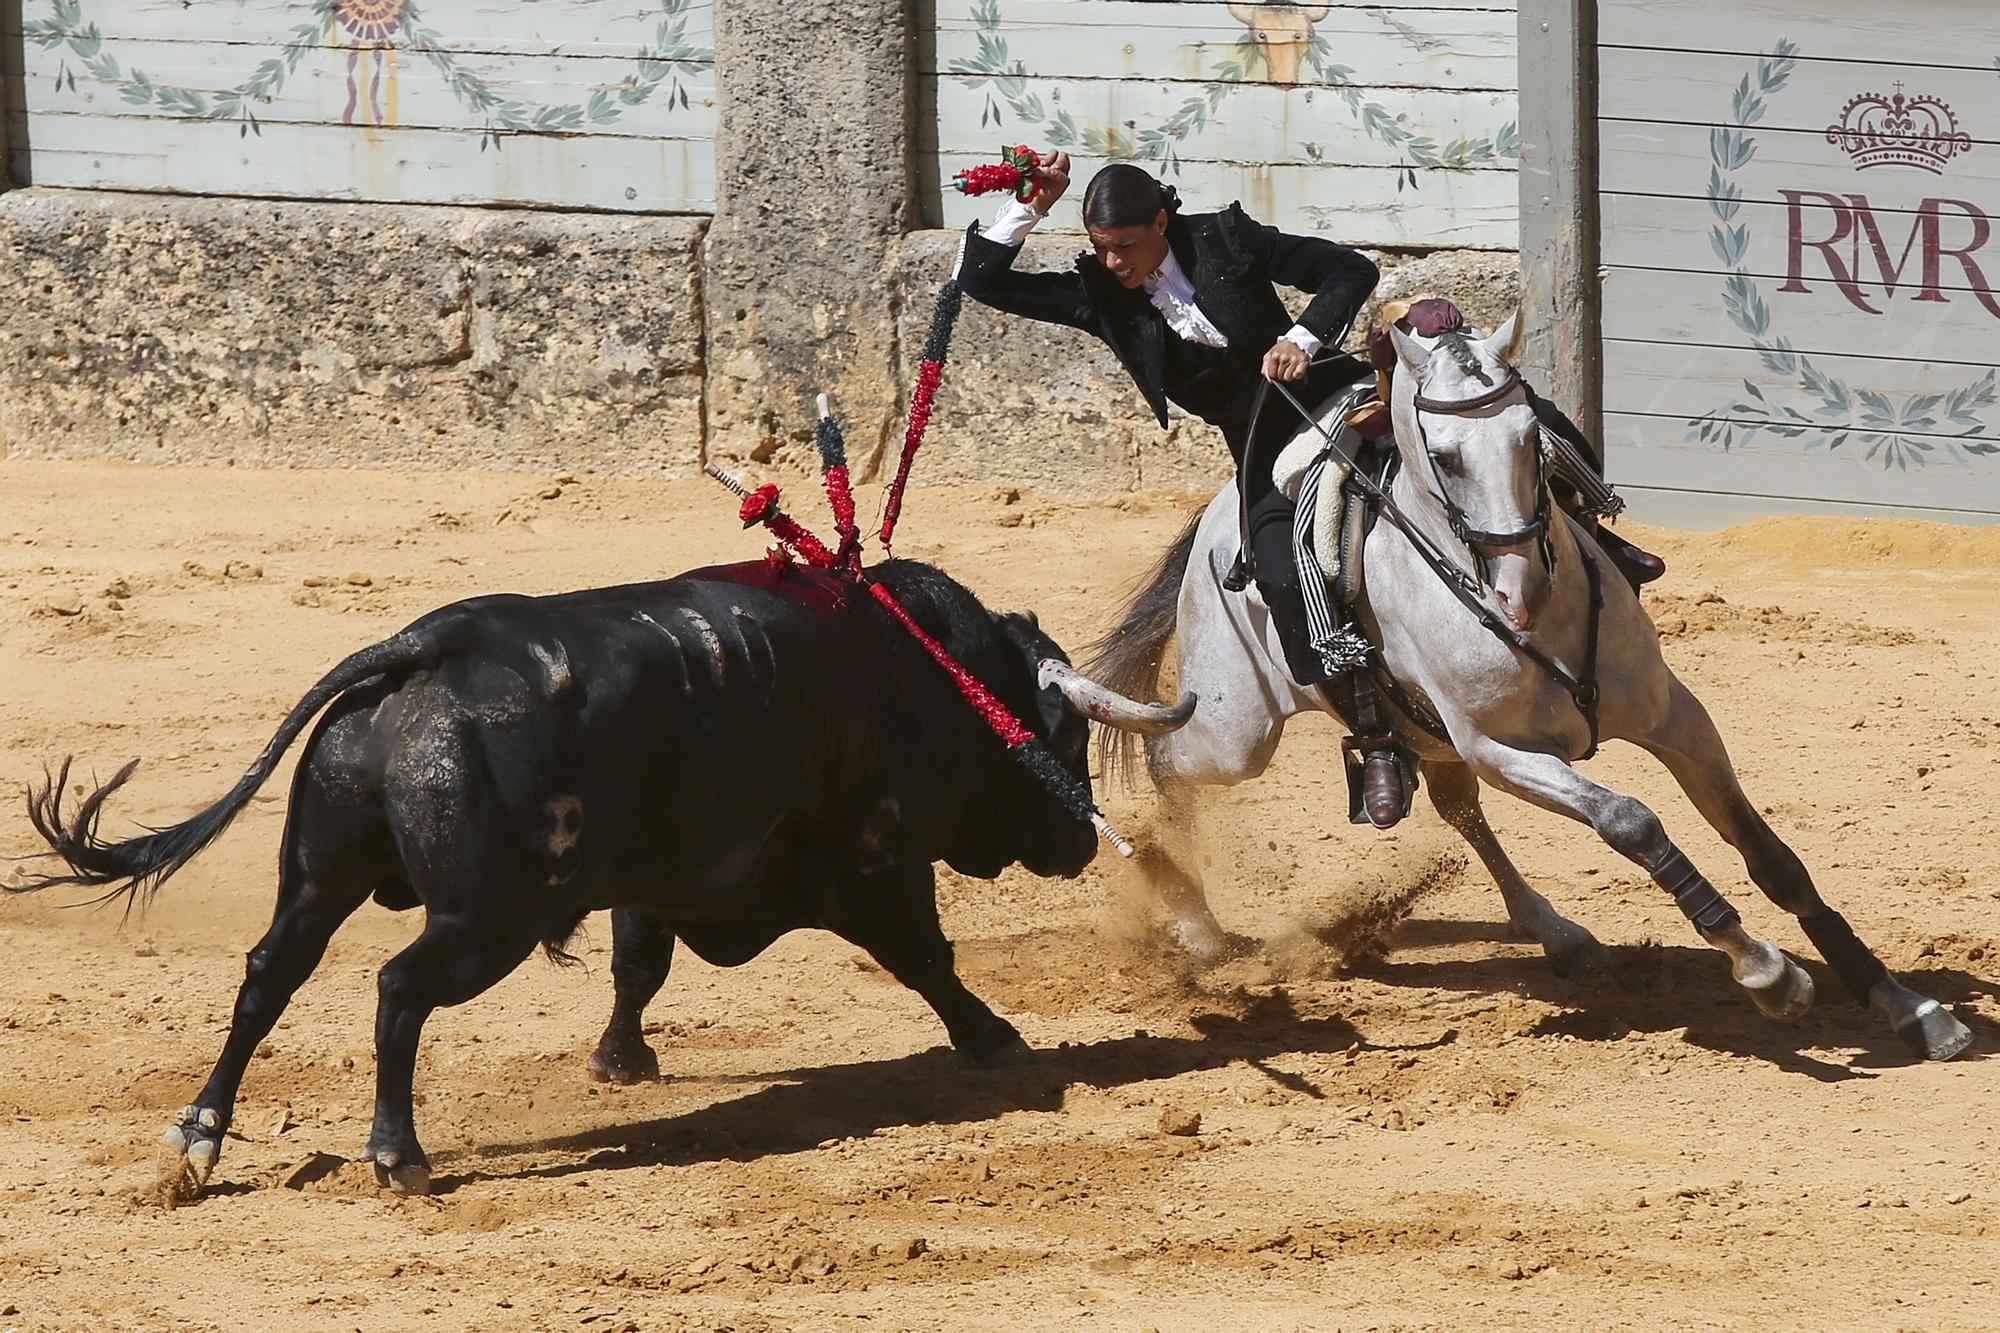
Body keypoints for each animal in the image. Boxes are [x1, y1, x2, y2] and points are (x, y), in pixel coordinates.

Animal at [19, 556, 1168, 1200]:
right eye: (1065, 737)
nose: (1080, 844)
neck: (939, 671)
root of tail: (427, 644)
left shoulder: (656, 878)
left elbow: (636, 965)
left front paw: (620, 1061)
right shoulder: (876, 857)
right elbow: (926, 956)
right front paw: (996, 1037)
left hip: (320, 874)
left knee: (268, 975)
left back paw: (198, 1138)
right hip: (487, 917)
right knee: (397, 989)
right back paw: (399, 1155)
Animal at [1080, 304, 1968, 1056]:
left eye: (1533, 434)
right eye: (1443, 457)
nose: (1520, 593)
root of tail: (1212, 517)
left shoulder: (1674, 716)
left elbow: (1771, 856)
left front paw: (1909, 1006)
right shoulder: (1506, 750)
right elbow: (1632, 822)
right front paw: (1765, 970)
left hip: (1415, 733)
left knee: (1456, 808)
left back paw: (1560, 936)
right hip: (1238, 729)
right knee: (1167, 760)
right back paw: (1190, 918)